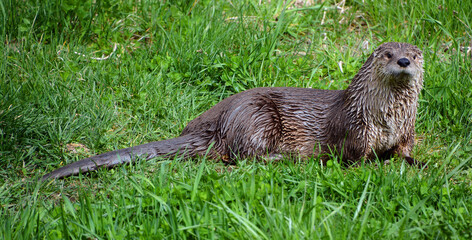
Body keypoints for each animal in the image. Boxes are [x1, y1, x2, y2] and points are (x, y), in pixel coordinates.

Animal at [42, 41, 426, 180]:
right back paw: (286, 158)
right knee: (241, 155)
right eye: (388, 54)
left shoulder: (405, 131)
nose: (404, 61)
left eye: (414, 53)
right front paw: (376, 166)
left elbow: (405, 150)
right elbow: (356, 158)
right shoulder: (355, 130)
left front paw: (417, 163)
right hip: (256, 116)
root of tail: (215, 124)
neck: (386, 117)